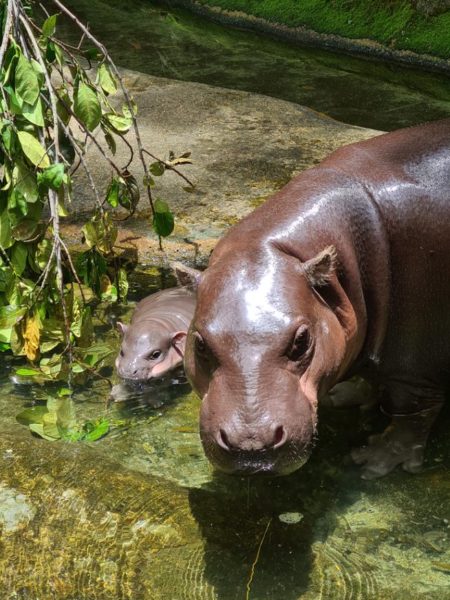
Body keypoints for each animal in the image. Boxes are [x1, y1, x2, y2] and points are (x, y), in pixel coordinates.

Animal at [178, 120, 450, 478]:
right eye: (199, 344)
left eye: (301, 340)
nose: (251, 446)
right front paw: (347, 394)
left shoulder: (415, 367)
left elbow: (411, 417)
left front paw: (374, 460)